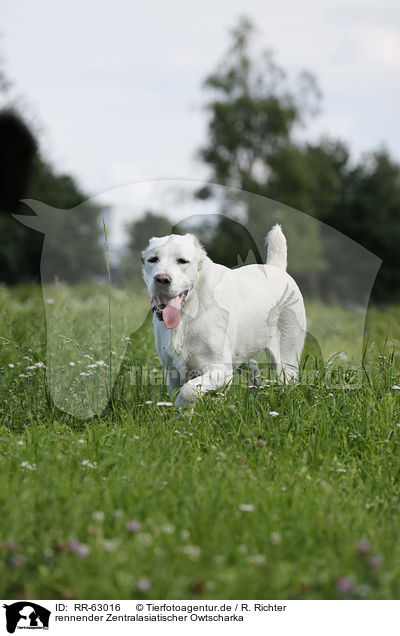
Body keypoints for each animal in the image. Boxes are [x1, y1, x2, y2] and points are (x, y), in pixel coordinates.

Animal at [141, 224, 306, 408]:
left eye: (182, 261)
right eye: (153, 259)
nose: (162, 279)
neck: (188, 314)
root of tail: (276, 268)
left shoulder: (220, 369)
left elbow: (189, 390)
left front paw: (182, 409)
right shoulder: (173, 373)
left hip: (286, 361)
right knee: (252, 365)